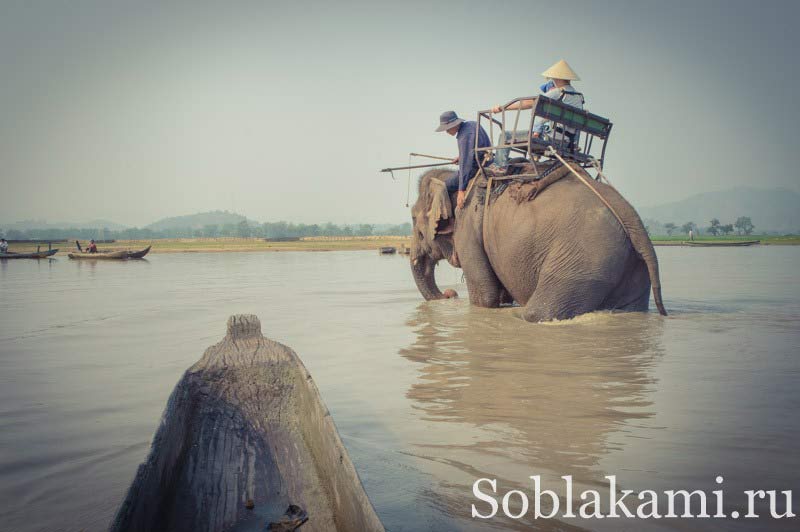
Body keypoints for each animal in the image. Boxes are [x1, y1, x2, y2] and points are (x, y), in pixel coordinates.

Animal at [410, 164, 664, 320]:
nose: (449, 294)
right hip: (630, 264)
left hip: (583, 262)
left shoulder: (468, 228)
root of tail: (632, 218)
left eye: (413, 219)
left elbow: (486, 295)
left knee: (538, 313)